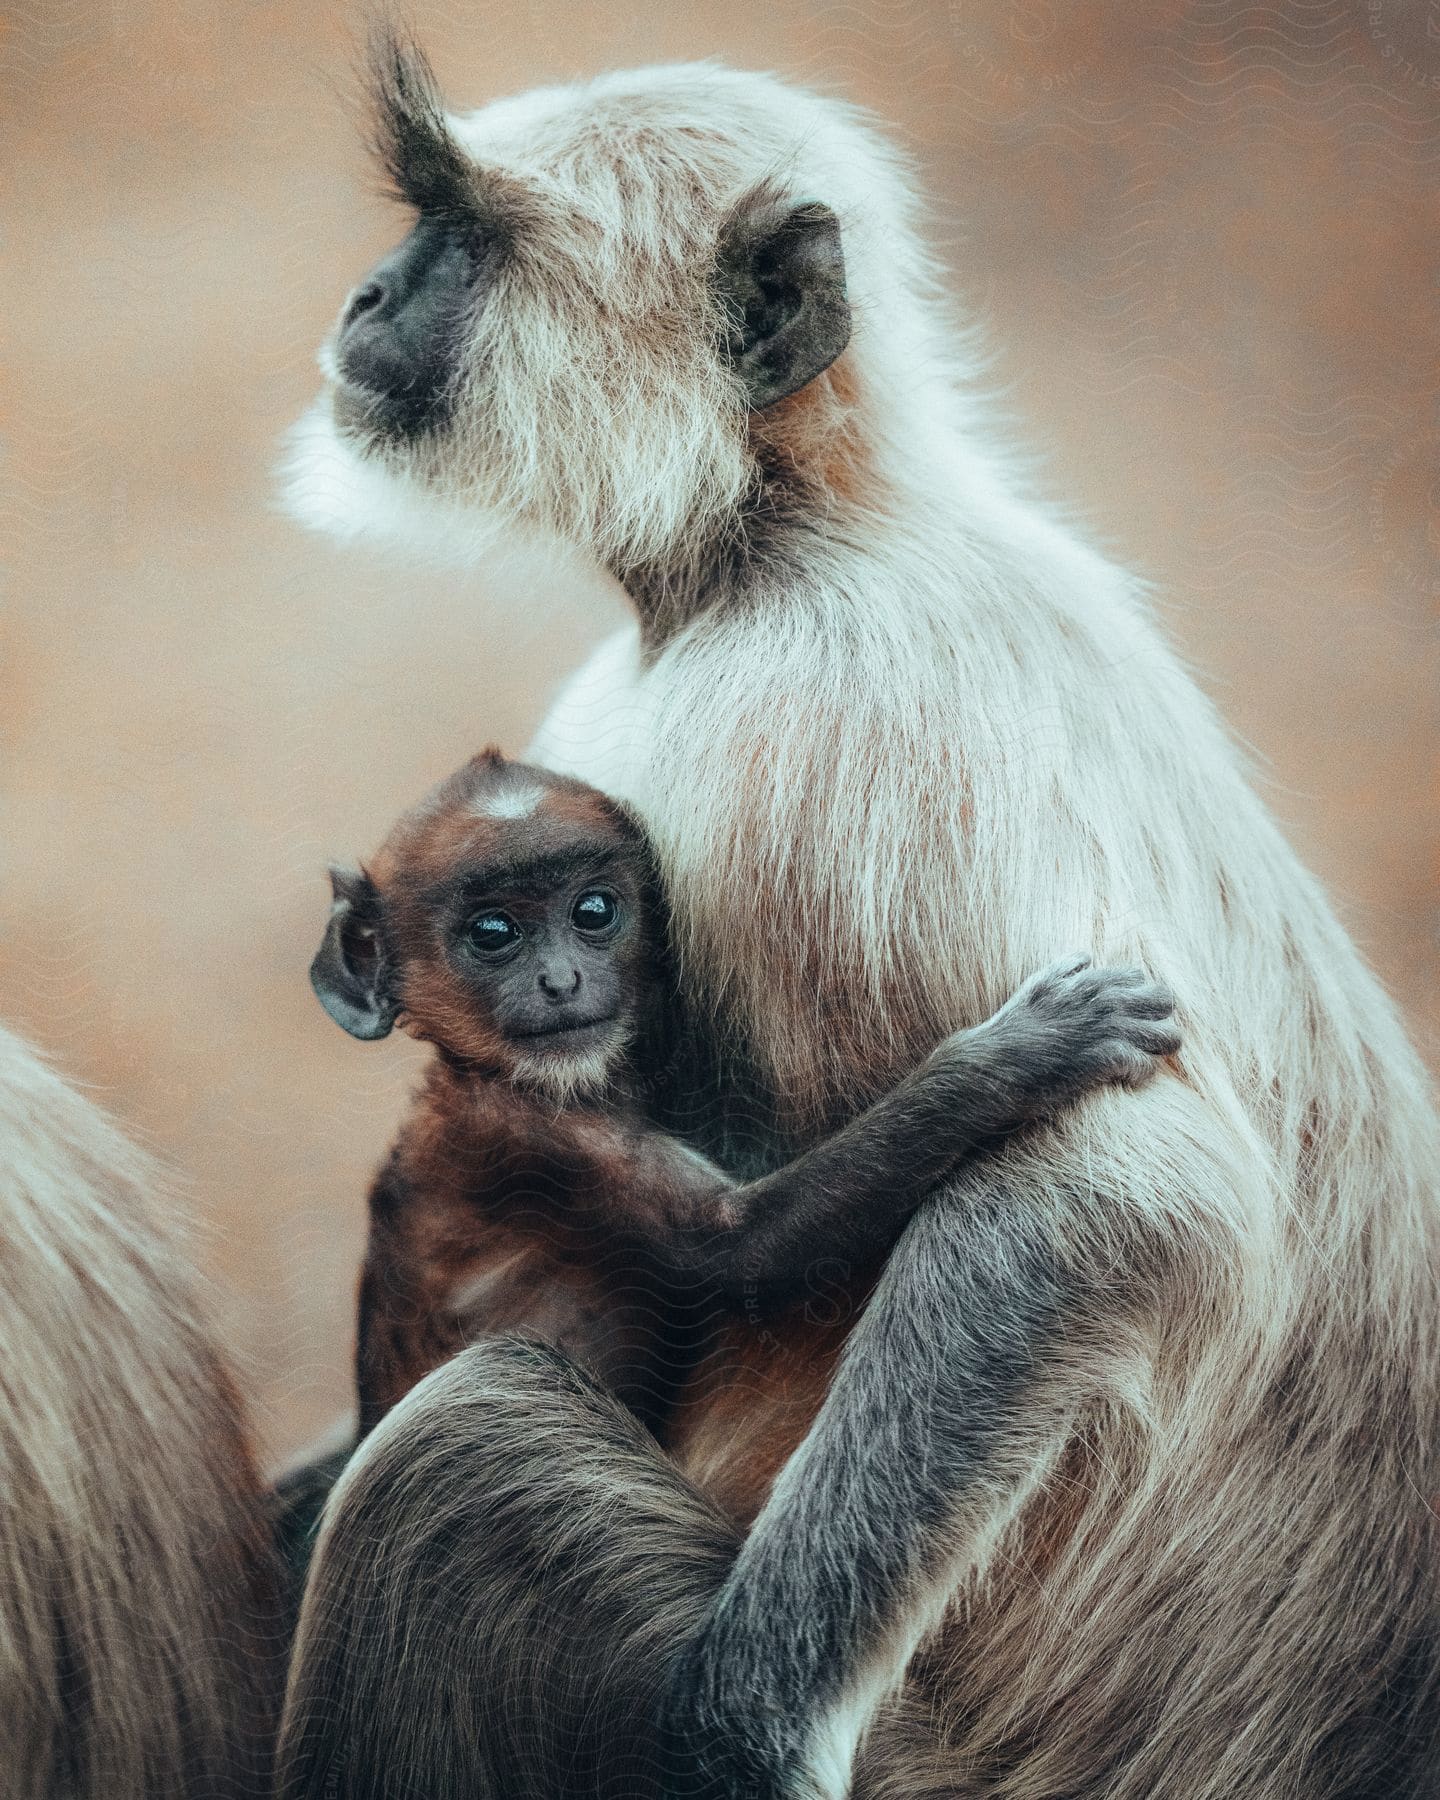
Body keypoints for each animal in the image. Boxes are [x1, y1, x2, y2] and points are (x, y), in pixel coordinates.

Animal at [315, 752, 1180, 1440]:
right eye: (494, 933)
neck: (476, 1074)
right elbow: (742, 1250)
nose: (561, 980)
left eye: (593, 912)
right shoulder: (531, 1132)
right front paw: (1031, 1046)